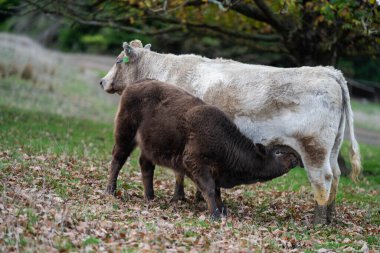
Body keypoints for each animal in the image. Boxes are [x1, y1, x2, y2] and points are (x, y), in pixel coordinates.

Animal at [99, 40, 360, 223]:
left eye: (118, 60)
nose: (102, 82)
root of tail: (329, 72)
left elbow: (180, 173)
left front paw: (180, 197)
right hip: (332, 149)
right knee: (337, 175)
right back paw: (329, 218)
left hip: (313, 150)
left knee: (323, 179)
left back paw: (318, 221)